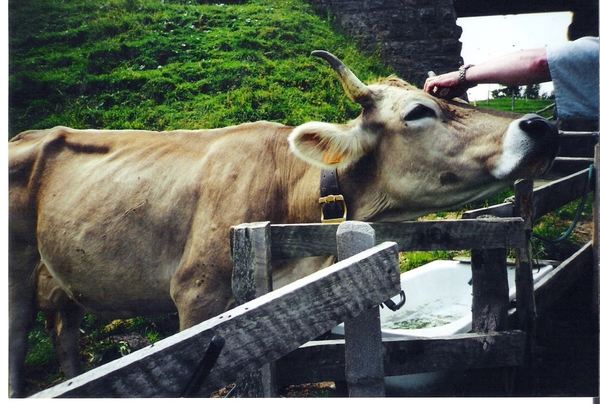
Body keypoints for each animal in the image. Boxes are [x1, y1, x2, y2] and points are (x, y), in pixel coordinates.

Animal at [8, 49, 556, 394]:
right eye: (418, 112)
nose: (541, 126)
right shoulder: (196, 299)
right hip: (15, 278)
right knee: (16, 343)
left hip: (60, 279)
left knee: (64, 336)